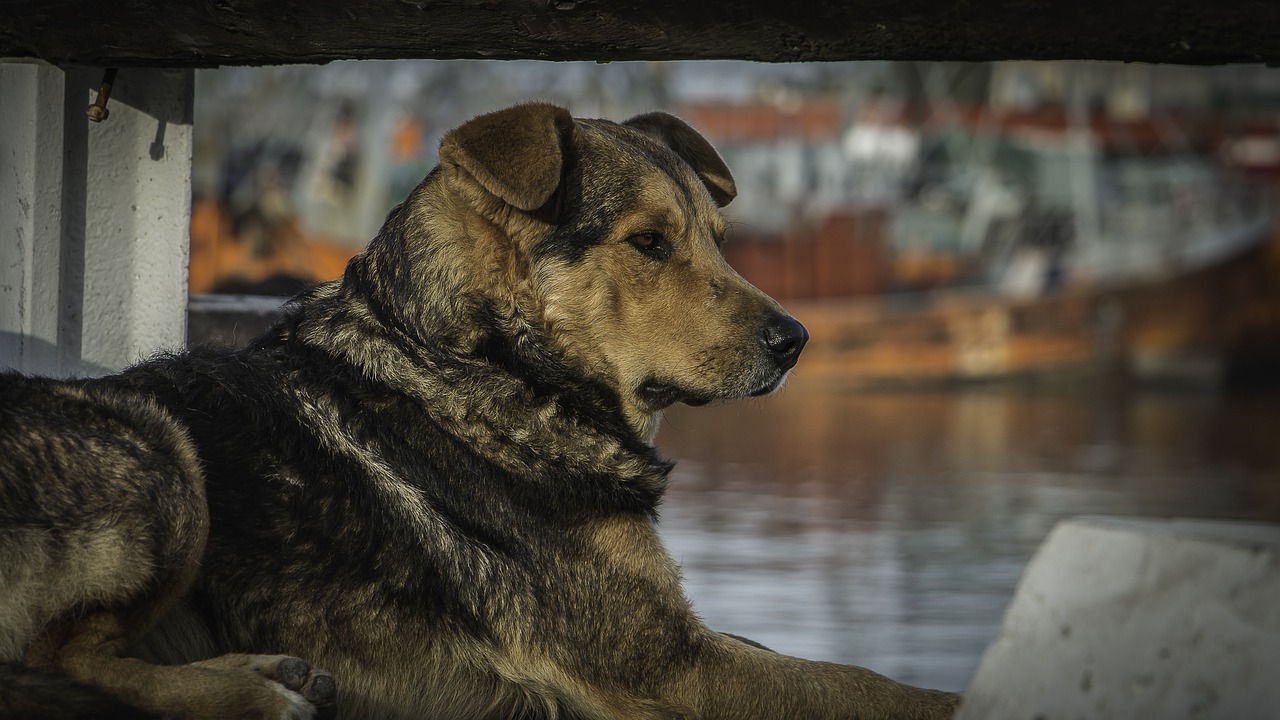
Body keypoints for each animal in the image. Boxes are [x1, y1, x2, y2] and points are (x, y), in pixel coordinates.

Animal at [0, 103, 959, 719]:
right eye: (649, 244)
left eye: (719, 244)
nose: (796, 341)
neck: (484, 364)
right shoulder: (666, 664)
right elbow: (871, 688)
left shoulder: (675, 637)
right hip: (161, 449)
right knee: (61, 657)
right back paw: (253, 689)